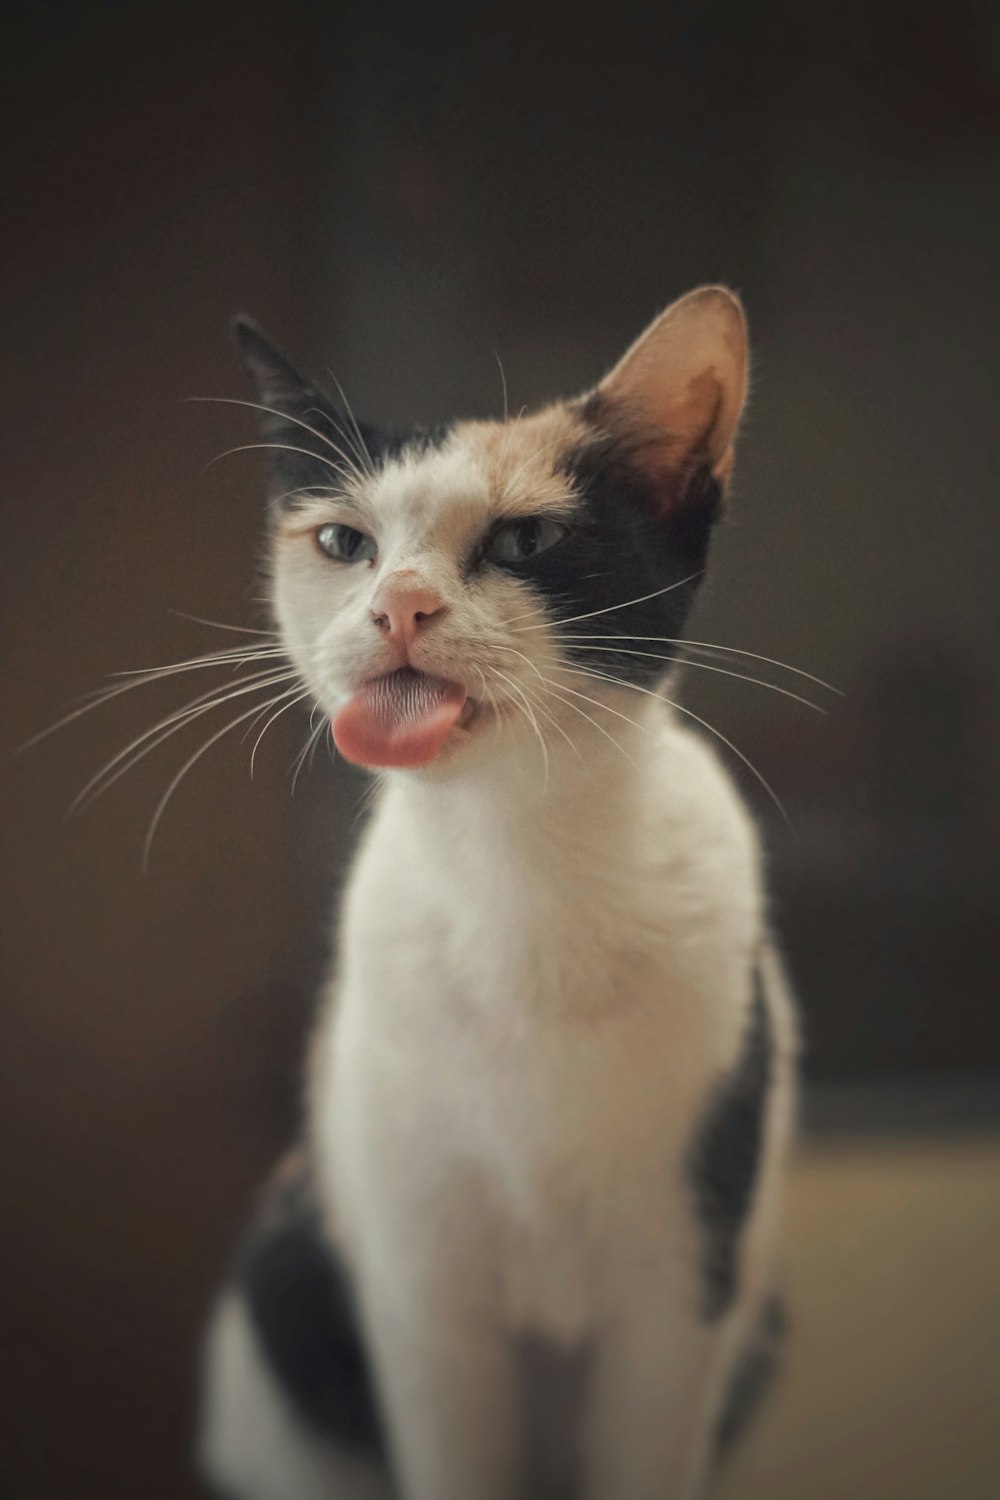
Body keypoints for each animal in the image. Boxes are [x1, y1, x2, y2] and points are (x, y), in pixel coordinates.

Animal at [199, 283, 803, 1500]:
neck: (518, 865)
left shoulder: (677, 1303)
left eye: (526, 539)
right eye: (343, 542)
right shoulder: (423, 1302)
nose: (400, 605)